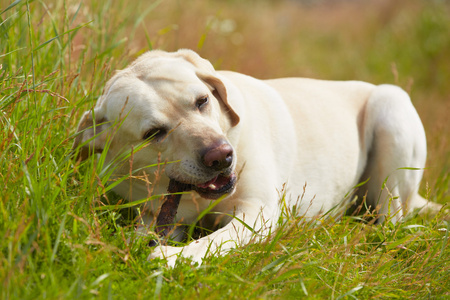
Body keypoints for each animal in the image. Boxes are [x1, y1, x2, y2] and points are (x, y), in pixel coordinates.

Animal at [73, 49, 440, 268]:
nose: (221, 157)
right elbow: (141, 231)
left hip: (391, 105)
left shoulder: (257, 212)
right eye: (154, 133)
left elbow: (210, 242)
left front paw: (172, 257)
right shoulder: (157, 214)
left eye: (202, 101)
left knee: (390, 220)